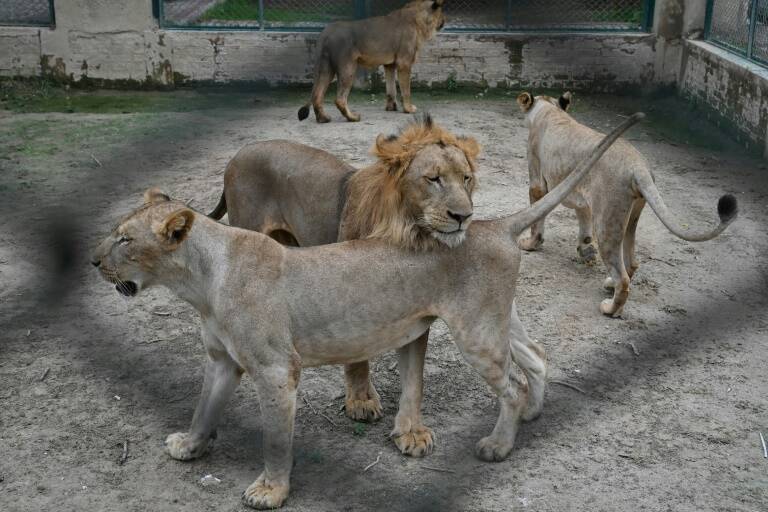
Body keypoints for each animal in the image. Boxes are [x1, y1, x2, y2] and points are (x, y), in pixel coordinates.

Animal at [90, 113, 640, 508]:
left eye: (124, 239)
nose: (93, 260)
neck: (201, 281)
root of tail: (491, 224)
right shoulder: (223, 361)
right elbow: (203, 407)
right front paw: (189, 446)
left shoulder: (276, 371)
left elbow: (276, 440)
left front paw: (270, 490)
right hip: (497, 320)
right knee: (536, 357)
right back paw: (534, 415)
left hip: (476, 335)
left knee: (512, 384)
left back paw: (498, 445)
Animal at [298, 0, 448, 123]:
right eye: (442, 12)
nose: (445, 20)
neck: (420, 21)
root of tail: (326, 32)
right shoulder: (404, 62)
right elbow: (406, 90)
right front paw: (408, 109)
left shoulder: (390, 65)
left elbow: (391, 89)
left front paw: (391, 107)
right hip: (348, 67)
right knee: (340, 99)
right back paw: (353, 117)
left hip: (326, 68)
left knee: (317, 95)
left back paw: (323, 119)